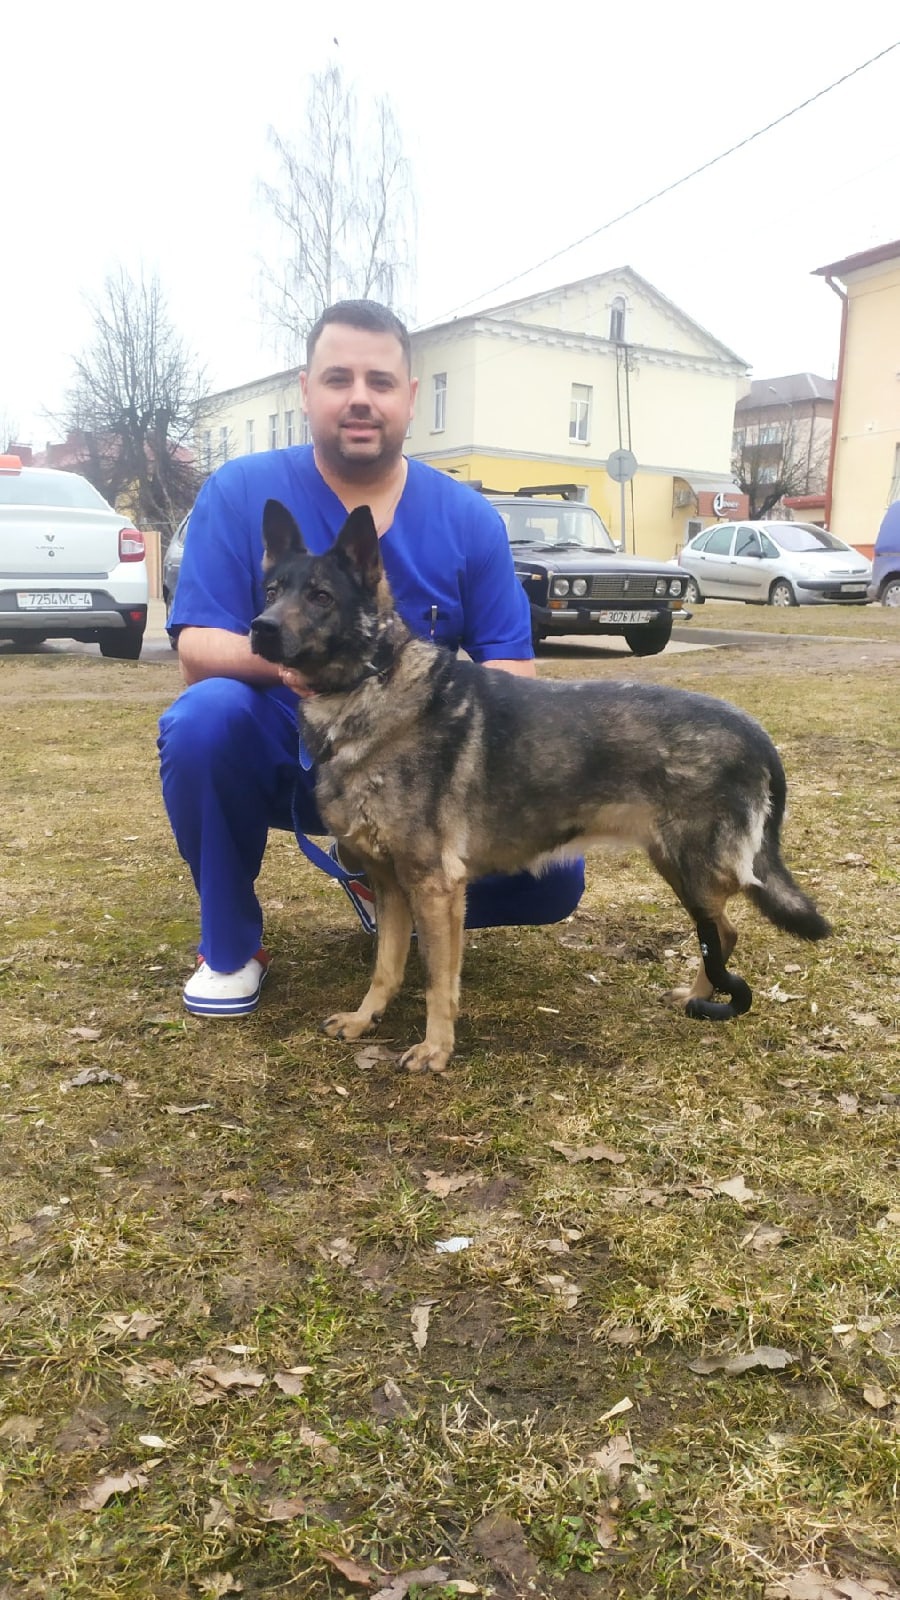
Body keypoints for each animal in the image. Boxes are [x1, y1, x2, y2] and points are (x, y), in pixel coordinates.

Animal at [250, 499, 830, 1073]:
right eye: (273, 592)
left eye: (322, 596)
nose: (260, 629)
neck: (371, 686)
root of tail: (752, 730)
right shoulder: (390, 886)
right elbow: (385, 968)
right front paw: (364, 1018)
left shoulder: (435, 888)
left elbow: (438, 980)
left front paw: (436, 1049)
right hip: (674, 864)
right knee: (723, 933)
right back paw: (696, 997)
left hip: (694, 869)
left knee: (722, 932)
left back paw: (701, 997)